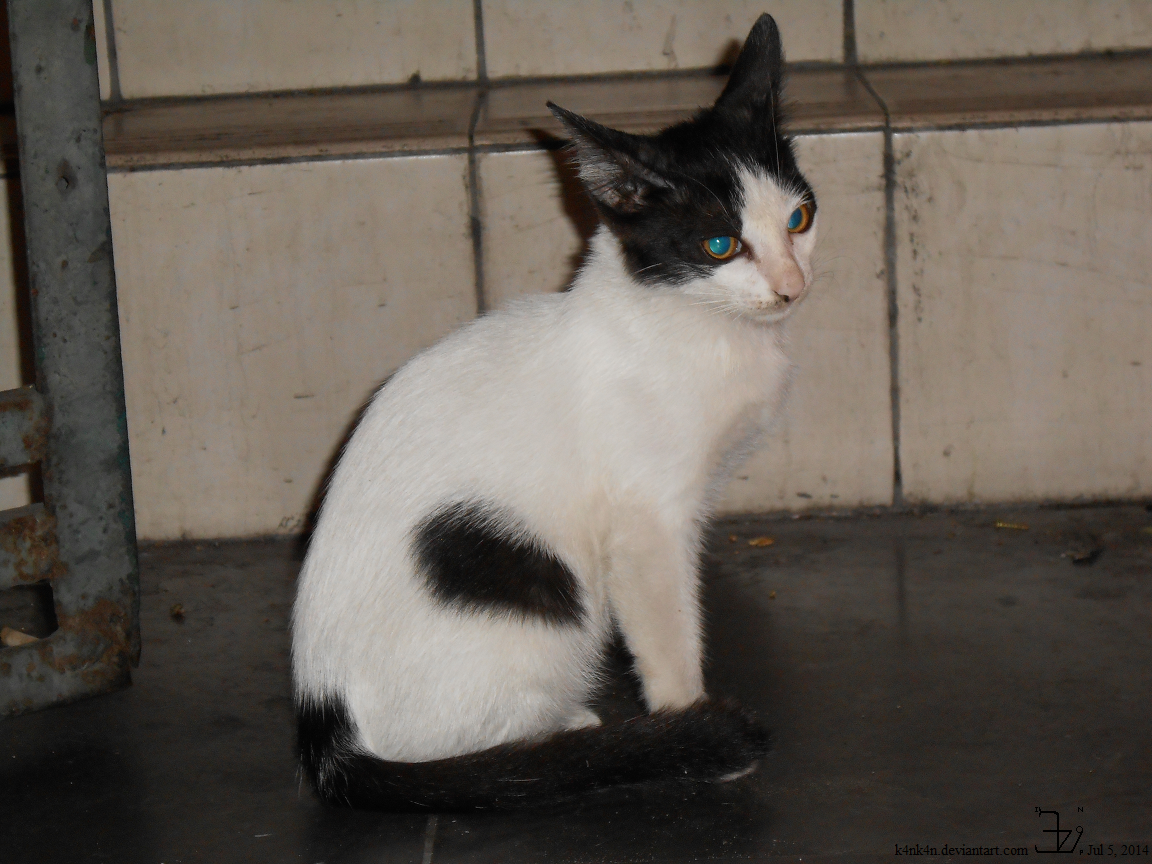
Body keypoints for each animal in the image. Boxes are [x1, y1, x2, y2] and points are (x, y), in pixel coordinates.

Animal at [292, 11, 824, 811]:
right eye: (720, 244)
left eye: (798, 218)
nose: (792, 287)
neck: (684, 321)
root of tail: (329, 736)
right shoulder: (646, 521)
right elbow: (667, 632)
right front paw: (689, 724)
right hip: (537, 598)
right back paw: (576, 738)